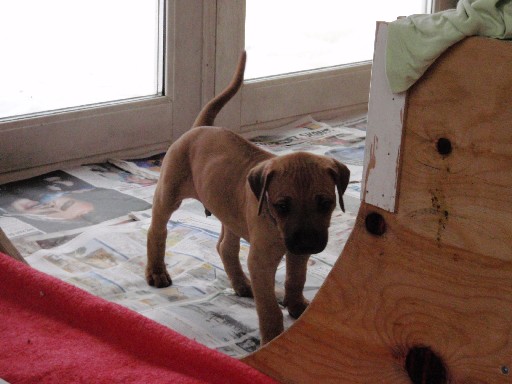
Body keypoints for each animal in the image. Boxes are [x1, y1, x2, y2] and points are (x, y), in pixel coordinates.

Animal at [146, 51, 350, 344]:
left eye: (325, 203)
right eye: (282, 206)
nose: (307, 242)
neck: (275, 225)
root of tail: (201, 127)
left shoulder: (297, 253)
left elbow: (296, 278)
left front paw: (297, 306)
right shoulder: (261, 261)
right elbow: (269, 308)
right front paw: (273, 337)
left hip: (229, 210)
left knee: (225, 247)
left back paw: (241, 283)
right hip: (169, 192)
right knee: (157, 231)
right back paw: (157, 271)